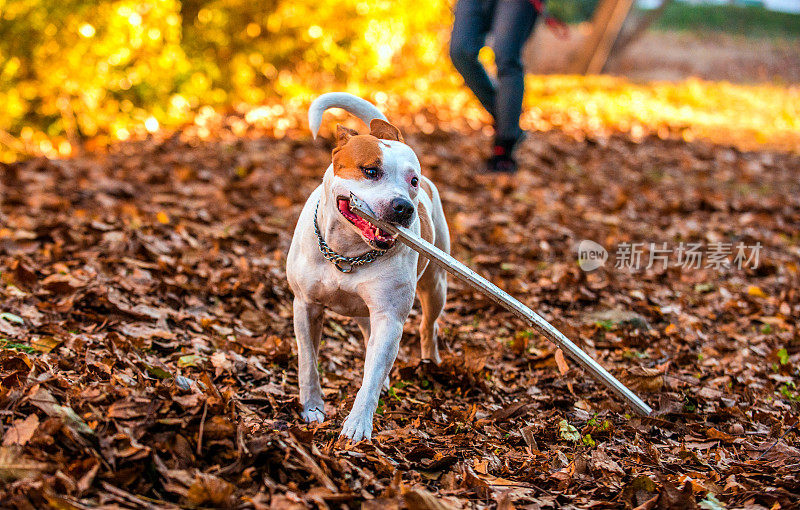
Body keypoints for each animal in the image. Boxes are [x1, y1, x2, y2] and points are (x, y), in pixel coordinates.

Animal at [288, 92, 450, 442]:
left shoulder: (389, 317)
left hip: (435, 286)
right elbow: (308, 360)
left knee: (426, 325)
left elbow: (372, 376)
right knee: (366, 332)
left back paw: (430, 360)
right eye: (370, 171)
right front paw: (312, 406)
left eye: (412, 180)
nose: (404, 207)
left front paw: (357, 424)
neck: (349, 254)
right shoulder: (305, 305)